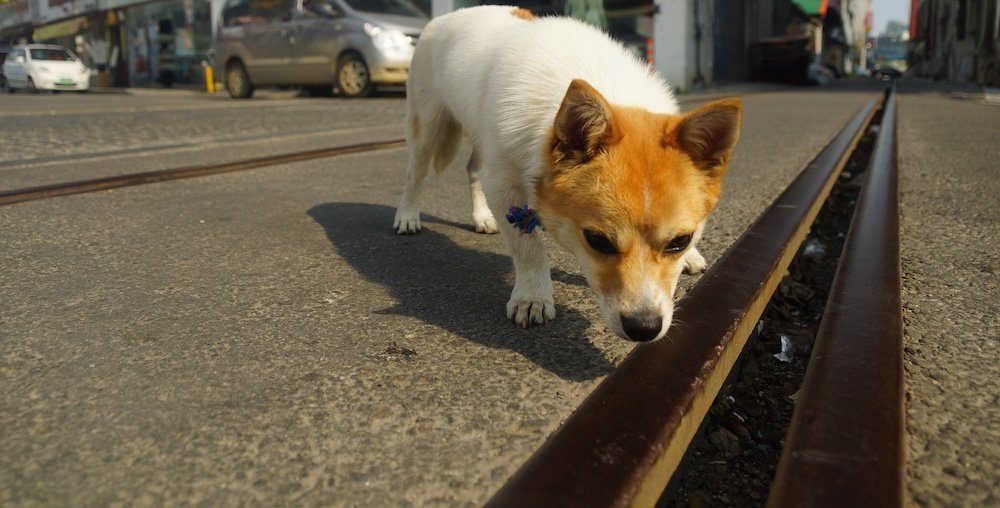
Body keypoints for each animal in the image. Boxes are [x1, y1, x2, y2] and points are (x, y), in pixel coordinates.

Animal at [392, 5, 744, 342]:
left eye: (680, 241)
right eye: (598, 240)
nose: (644, 329)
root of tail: (447, 17)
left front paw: (691, 257)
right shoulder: (505, 185)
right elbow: (528, 247)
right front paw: (532, 296)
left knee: (473, 170)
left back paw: (482, 217)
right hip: (428, 127)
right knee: (414, 173)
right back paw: (407, 216)